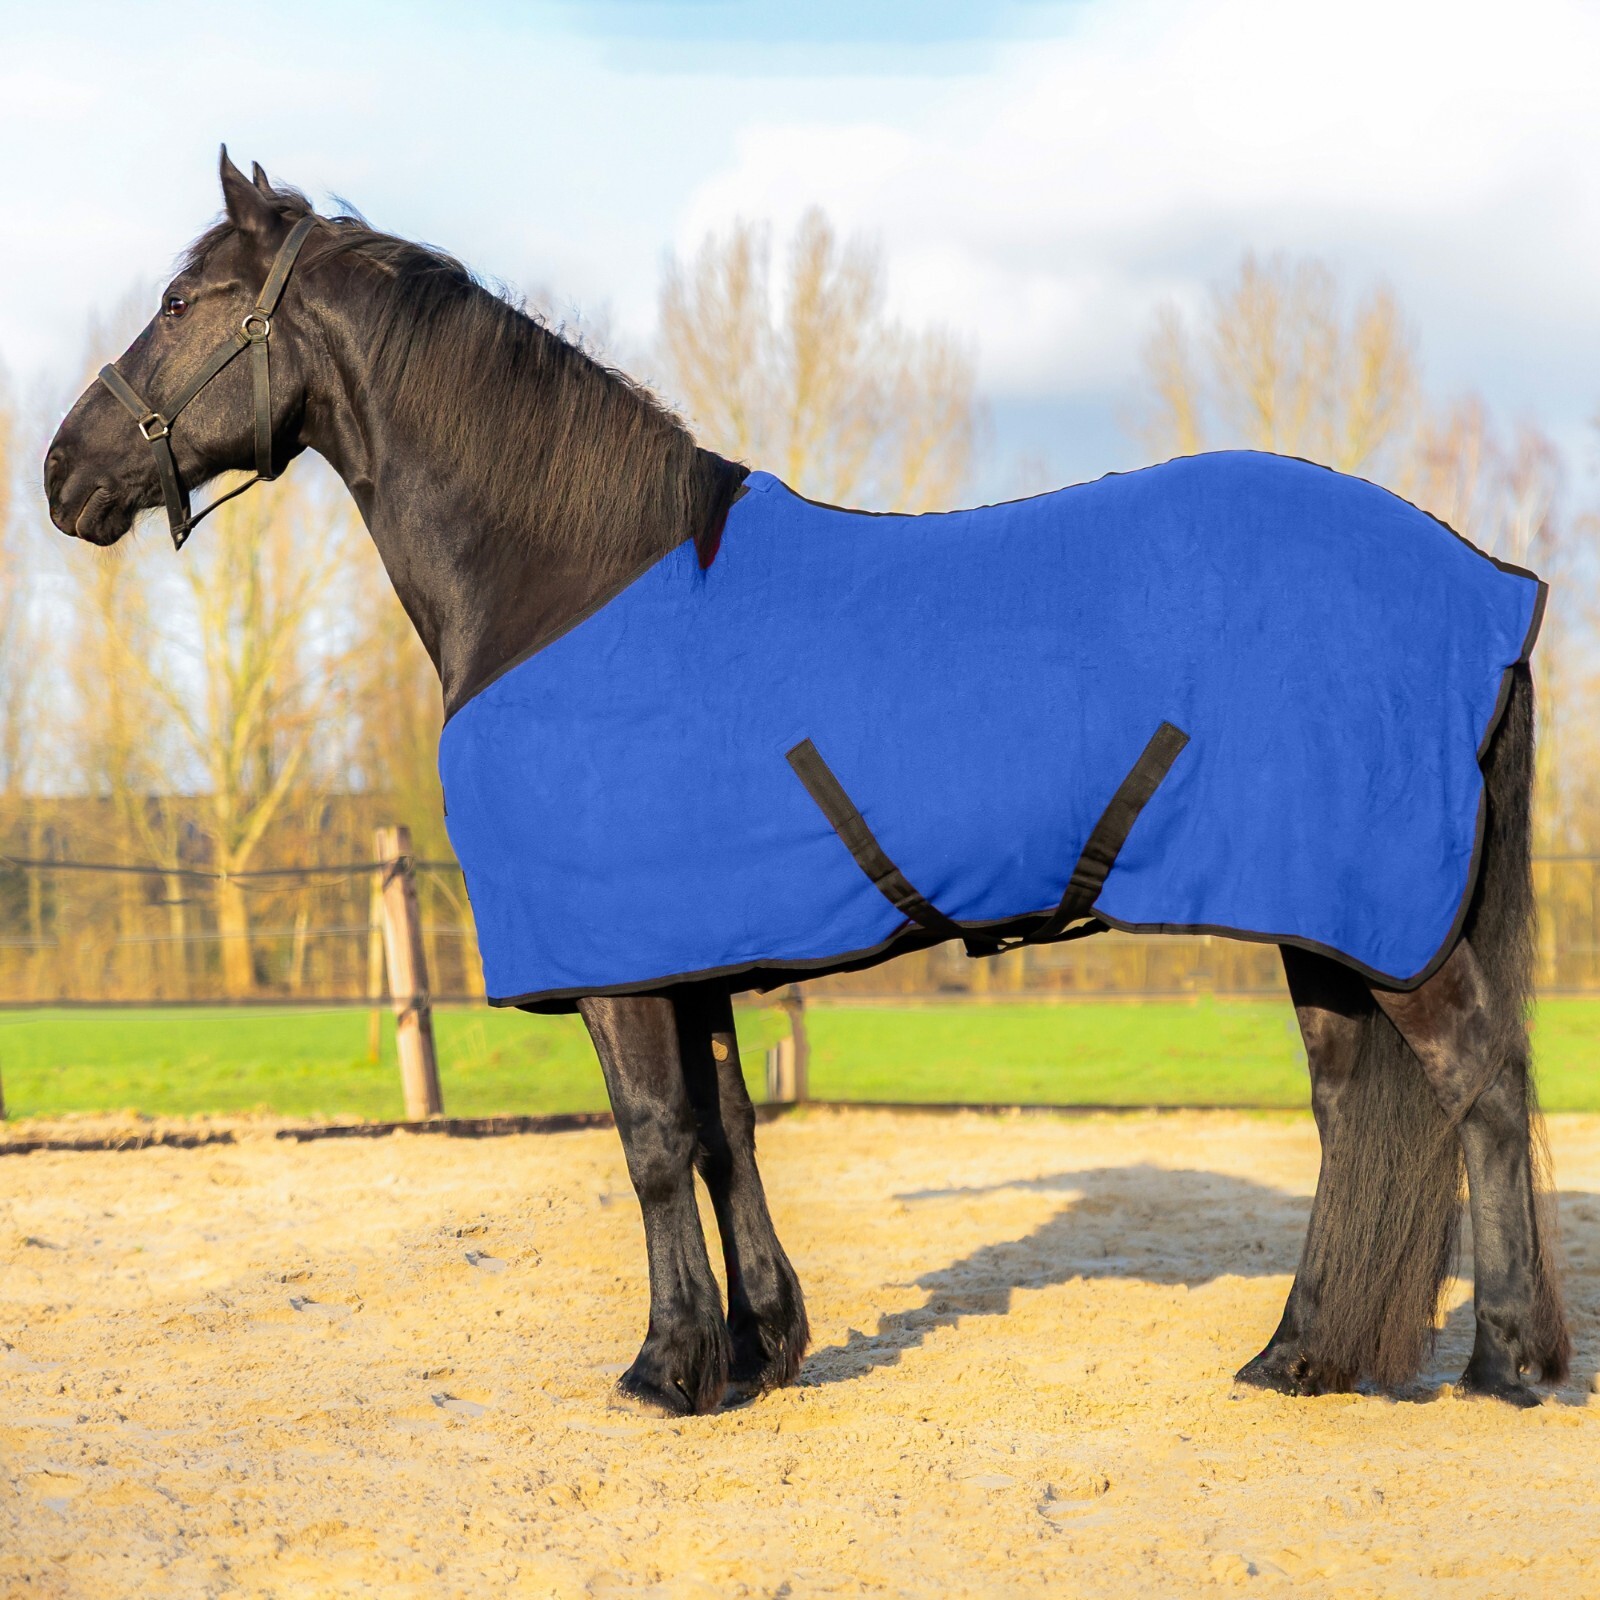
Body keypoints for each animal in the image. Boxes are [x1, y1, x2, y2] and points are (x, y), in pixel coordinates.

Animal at [44, 151, 1570, 1413]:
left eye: (183, 301)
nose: (63, 472)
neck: (572, 586)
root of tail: (1487, 580)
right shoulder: (691, 949)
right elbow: (727, 1132)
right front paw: (759, 1349)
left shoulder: (623, 960)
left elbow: (653, 1141)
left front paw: (663, 1370)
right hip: (1333, 927)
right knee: (1353, 1114)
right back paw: (1300, 1353)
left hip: (1383, 917)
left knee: (1480, 1083)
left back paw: (1510, 1361)